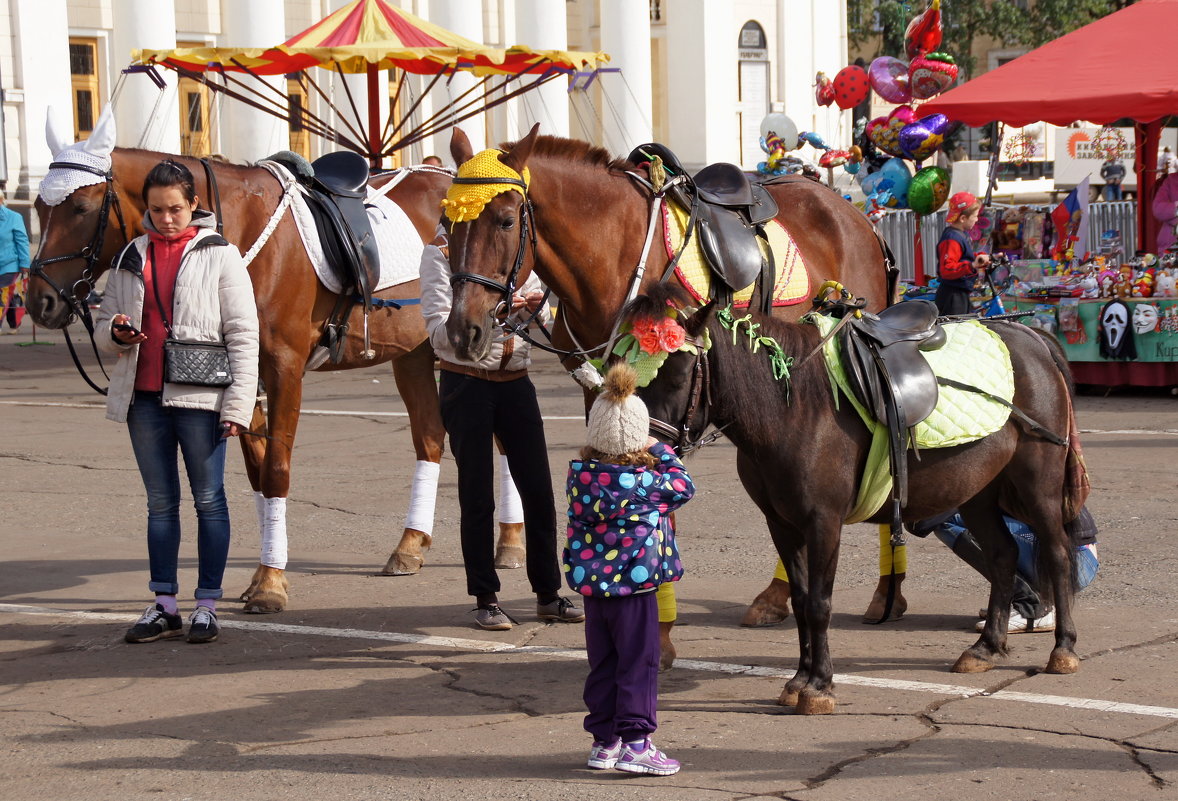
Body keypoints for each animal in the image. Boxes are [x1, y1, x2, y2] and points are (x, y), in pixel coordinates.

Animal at [25, 147, 501, 607]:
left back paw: (507, 544)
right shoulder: (242, 372)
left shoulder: (284, 368)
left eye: (81, 207)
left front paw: (271, 583)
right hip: (413, 353)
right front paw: (263, 573)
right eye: (37, 207)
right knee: (430, 438)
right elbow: (256, 472)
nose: (39, 301)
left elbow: (275, 469)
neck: (238, 234)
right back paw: (411, 544)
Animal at [631, 281, 1079, 711]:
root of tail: (1034, 338)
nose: (640, 452)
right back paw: (986, 648)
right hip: (977, 493)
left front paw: (819, 686)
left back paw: (1063, 648)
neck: (793, 407)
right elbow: (800, 600)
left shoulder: (823, 521)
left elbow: (819, 604)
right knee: (1003, 555)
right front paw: (799, 679)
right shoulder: (782, 525)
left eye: (677, 375)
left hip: (1038, 484)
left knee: (1058, 553)